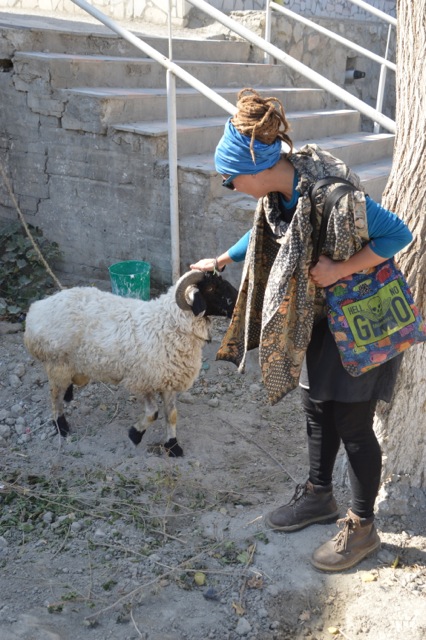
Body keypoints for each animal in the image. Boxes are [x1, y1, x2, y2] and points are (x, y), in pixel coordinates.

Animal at [24, 270, 237, 457]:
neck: (168, 325)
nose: (236, 304)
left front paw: (173, 446)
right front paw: (135, 434)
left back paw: (68, 397)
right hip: (57, 363)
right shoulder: (141, 381)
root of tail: (36, 309)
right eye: (211, 288)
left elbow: (171, 414)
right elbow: (153, 413)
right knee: (55, 397)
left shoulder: (167, 380)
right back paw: (61, 426)